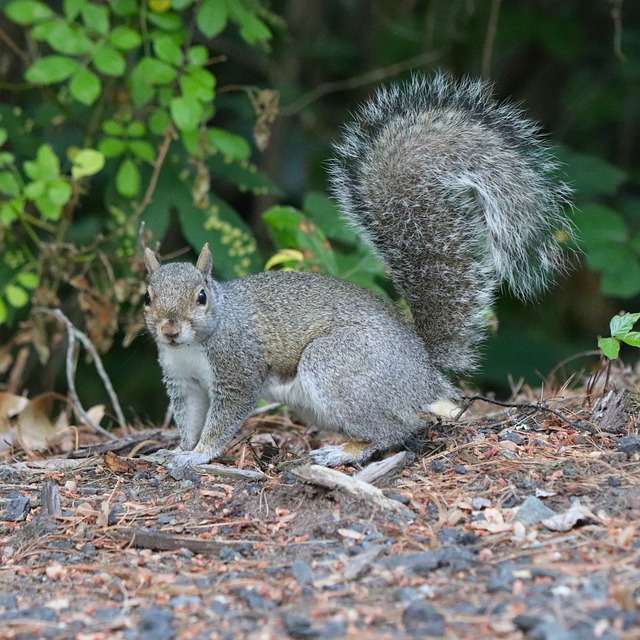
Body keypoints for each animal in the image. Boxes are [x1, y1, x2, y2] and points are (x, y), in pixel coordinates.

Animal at [142, 74, 572, 470]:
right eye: (147, 297)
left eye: (201, 296)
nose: (170, 329)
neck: (193, 345)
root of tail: (424, 370)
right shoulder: (184, 383)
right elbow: (189, 420)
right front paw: (177, 450)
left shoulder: (237, 368)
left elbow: (222, 421)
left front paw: (198, 455)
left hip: (336, 366)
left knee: (395, 430)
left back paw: (344, 452)